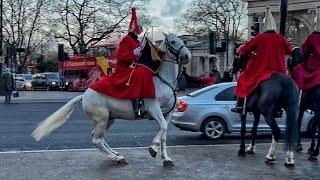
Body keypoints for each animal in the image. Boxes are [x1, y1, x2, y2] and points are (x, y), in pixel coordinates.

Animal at [32, 33, 191, 167]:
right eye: (172, 41)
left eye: (182, 40)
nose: (187, 56)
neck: (164, 82)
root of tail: (84, 95)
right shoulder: (154, 108)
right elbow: (163, 127)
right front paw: (153, 148)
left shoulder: (167, 113)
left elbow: (164, 133)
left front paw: (166, 158)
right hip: (102, 119)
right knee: (96, 140)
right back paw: (117, 158)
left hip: (109, 119)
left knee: (97, 137)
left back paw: (115, 153)